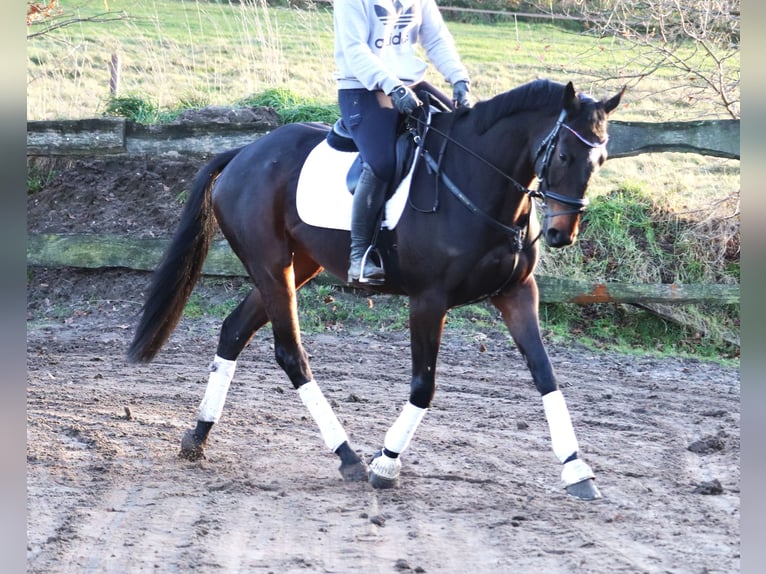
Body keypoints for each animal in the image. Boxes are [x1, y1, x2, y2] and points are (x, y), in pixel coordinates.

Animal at [129, 79, 628, 502]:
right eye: (562, 156)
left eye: (601, 160)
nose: (563, 234)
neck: (477, 180)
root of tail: (244, 153)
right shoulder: (429, 300)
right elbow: (424, 385)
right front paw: (385, 462)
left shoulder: (518, 293)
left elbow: (546, 375)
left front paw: (576, 470)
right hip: (272, 268)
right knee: (290, 353)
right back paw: (347, 455)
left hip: (296, 266)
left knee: (234, 330)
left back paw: (198, 436)